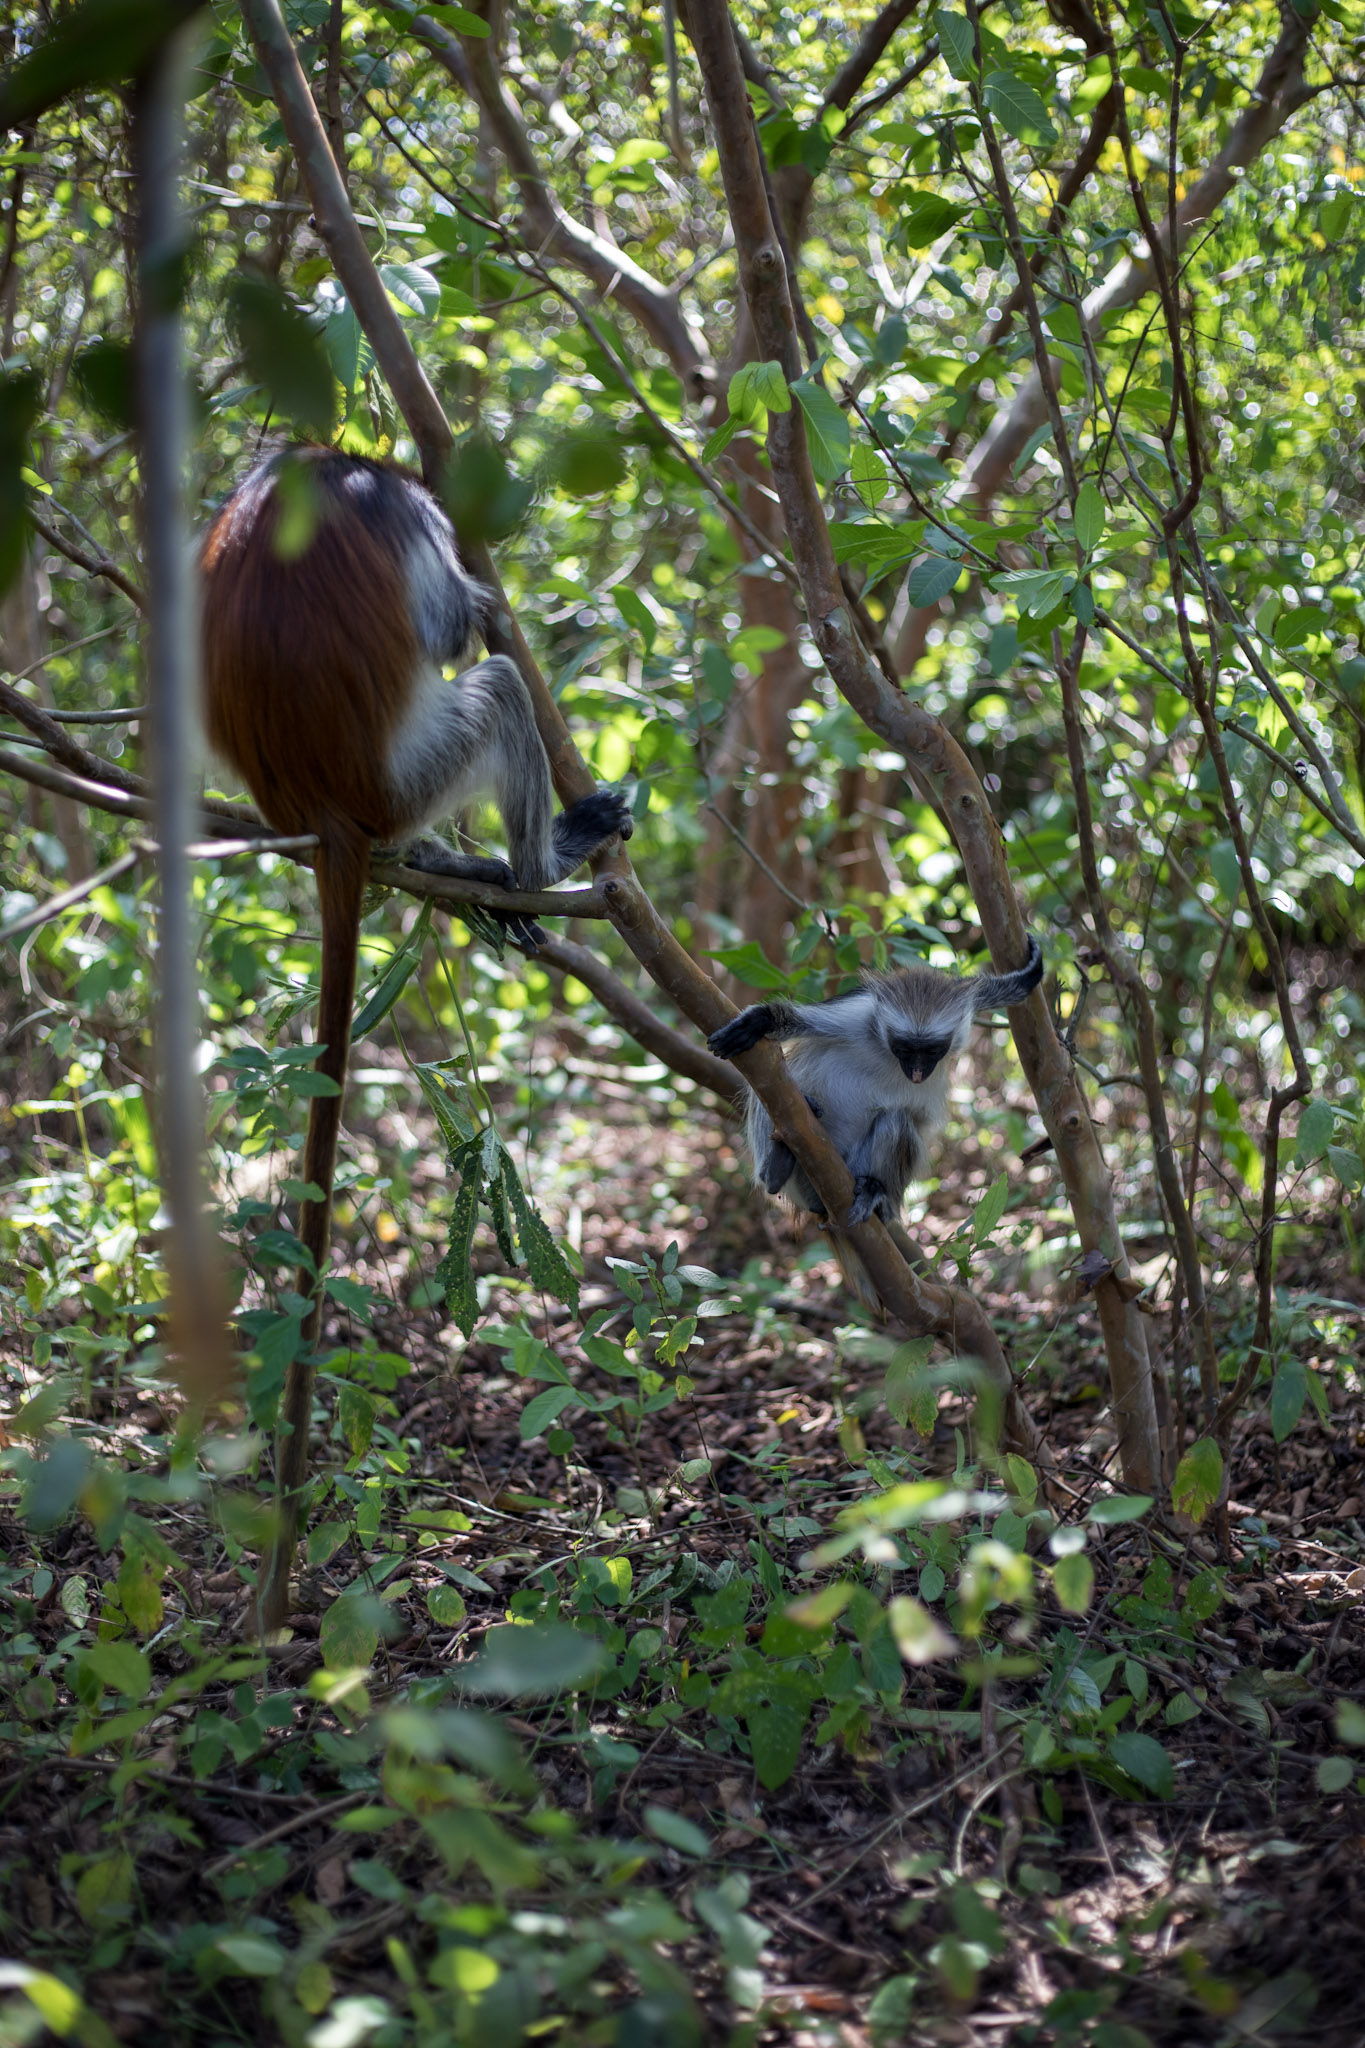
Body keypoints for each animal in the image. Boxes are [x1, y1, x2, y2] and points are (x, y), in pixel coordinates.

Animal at [199, 446, 632, 1627]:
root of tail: (326, 808)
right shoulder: (394, 505)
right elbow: (446, 627)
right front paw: (488, 602)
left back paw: (457, 869)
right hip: (419, 764)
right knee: (495, 691)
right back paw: (536, 866)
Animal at [707, 936, 1043, 1302]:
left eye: (932, 1051)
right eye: (905, 1048)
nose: (917, 1072)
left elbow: (983, 991)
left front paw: (1024, 979)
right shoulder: (857, 1014)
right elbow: (793, 1020)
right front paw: (760, 1021)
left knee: (895, 1121)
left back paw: (875, 1193)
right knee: (770, 1090)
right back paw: (776, 1168)